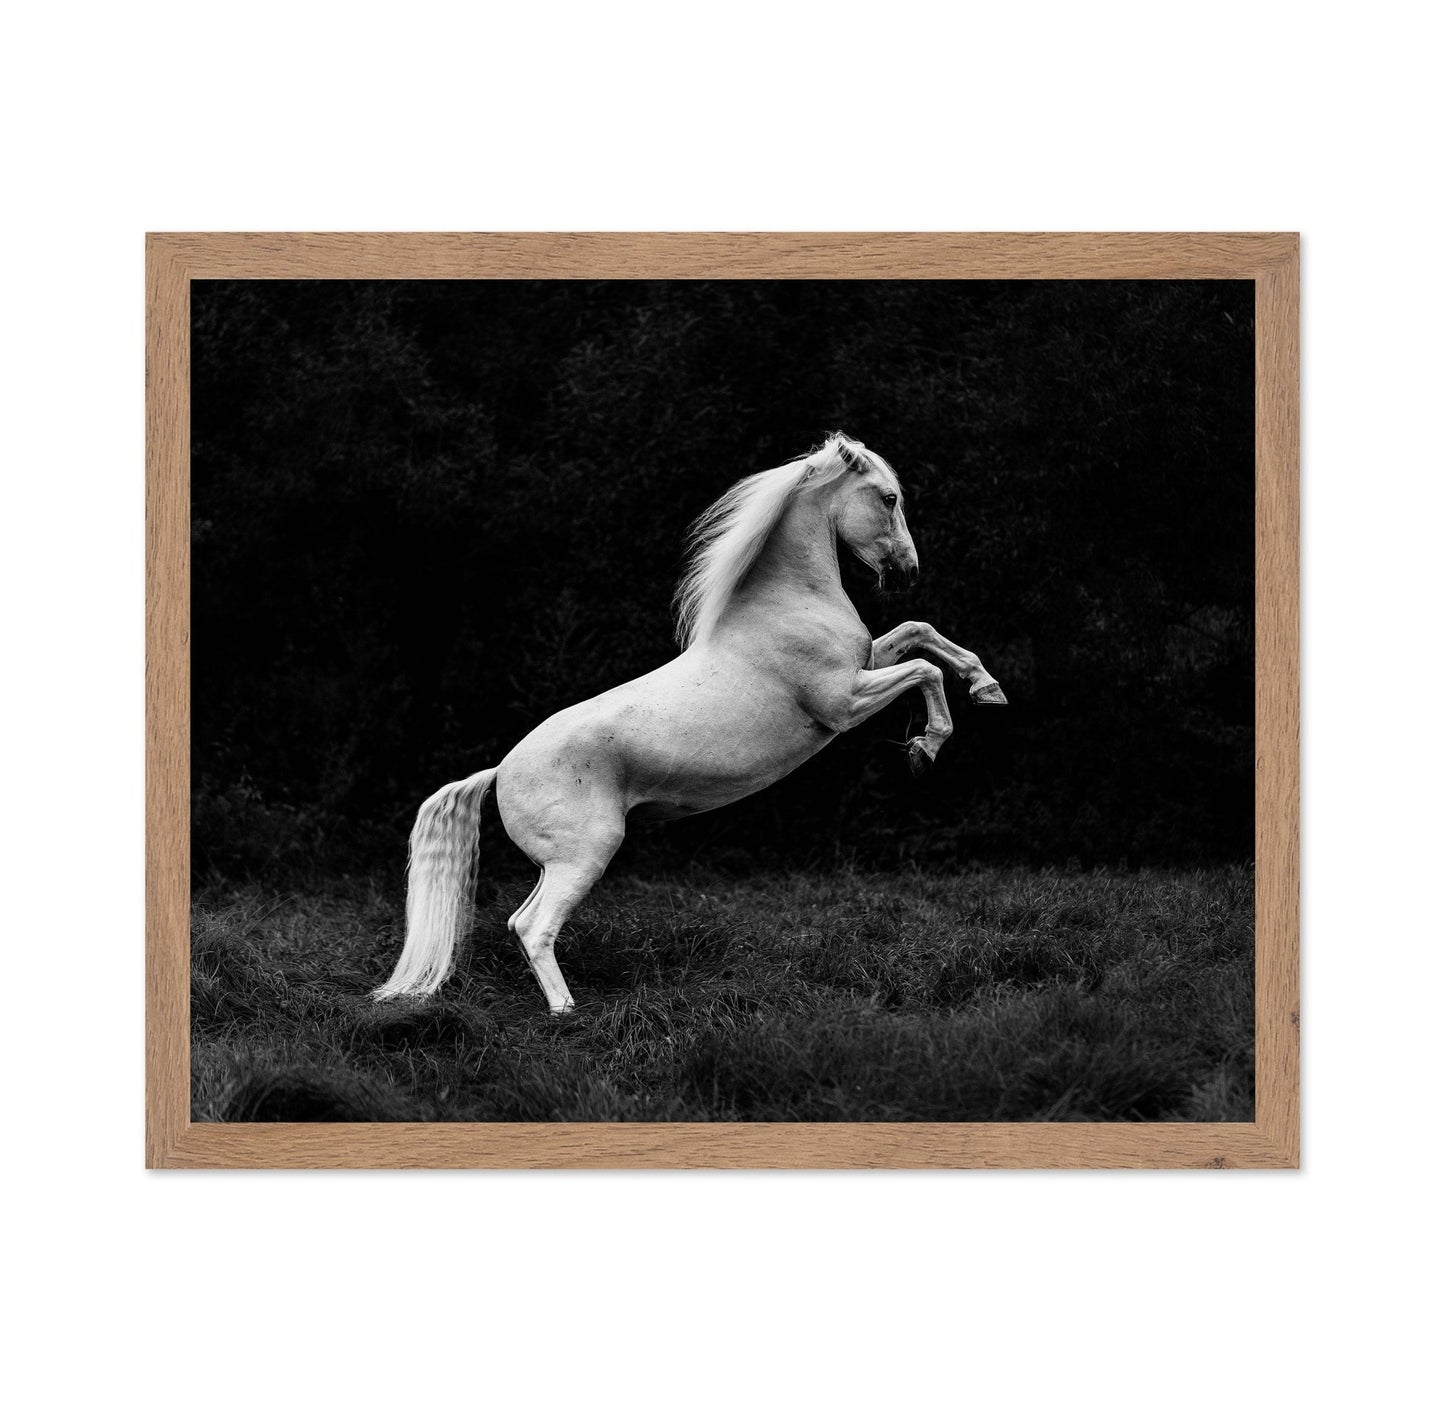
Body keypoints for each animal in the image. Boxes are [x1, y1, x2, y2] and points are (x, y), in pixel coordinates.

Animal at [373, 432, 1007, 1014]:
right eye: (889, 496)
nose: (908, 572)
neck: (787, 606)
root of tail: (499, 771)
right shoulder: (844, 702)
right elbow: (924, 669)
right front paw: (927, 747)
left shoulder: (866, 664)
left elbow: (920, 633)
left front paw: (987, 688)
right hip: (585, 854)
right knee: (534, 927)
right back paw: (567, 1013)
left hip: (556, 863)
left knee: (520, 921)